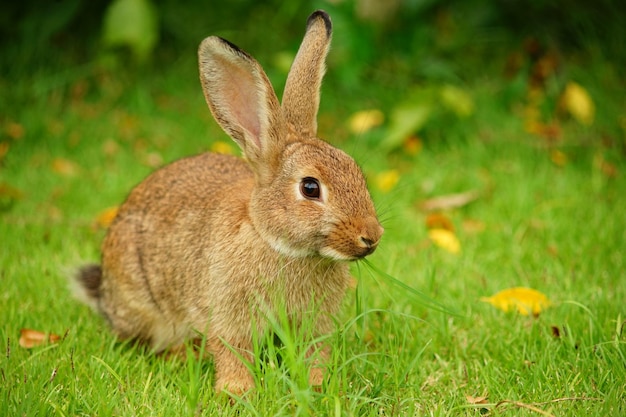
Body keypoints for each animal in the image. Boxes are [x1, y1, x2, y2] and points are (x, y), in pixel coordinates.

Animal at [75, 9, 382, 394]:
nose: (371, 237)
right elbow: (233, 351)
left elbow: (315, 352)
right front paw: (237, 392)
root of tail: (105, 291)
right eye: (310, 188)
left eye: (356, 171)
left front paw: (318, 385)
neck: (277, 243)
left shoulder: (315, 325)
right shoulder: (229, 315)